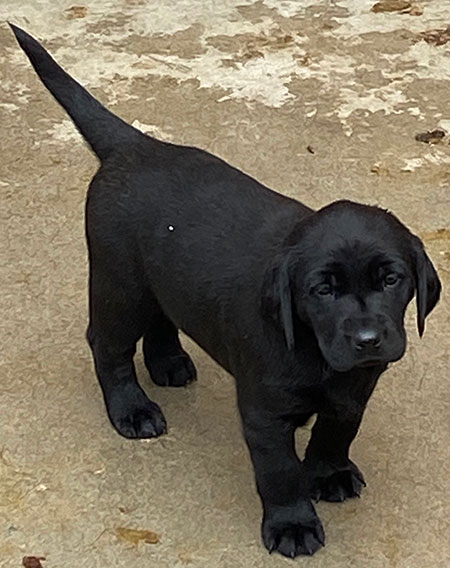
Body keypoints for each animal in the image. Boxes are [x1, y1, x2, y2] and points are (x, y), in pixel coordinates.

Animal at [10, 26, 440, 560]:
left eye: (391, 279)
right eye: (322, 289)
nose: (367, 339)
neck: (316, 352)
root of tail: (137, 146)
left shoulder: (354, 389)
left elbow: (336, 431)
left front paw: (329, 473)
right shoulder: (264, 413)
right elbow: (279, 472)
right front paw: (293, 524)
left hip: (158, 274)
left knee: (164, 315)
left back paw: (169, 363)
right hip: (120, 283)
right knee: (107, 345)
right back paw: (132, 409)